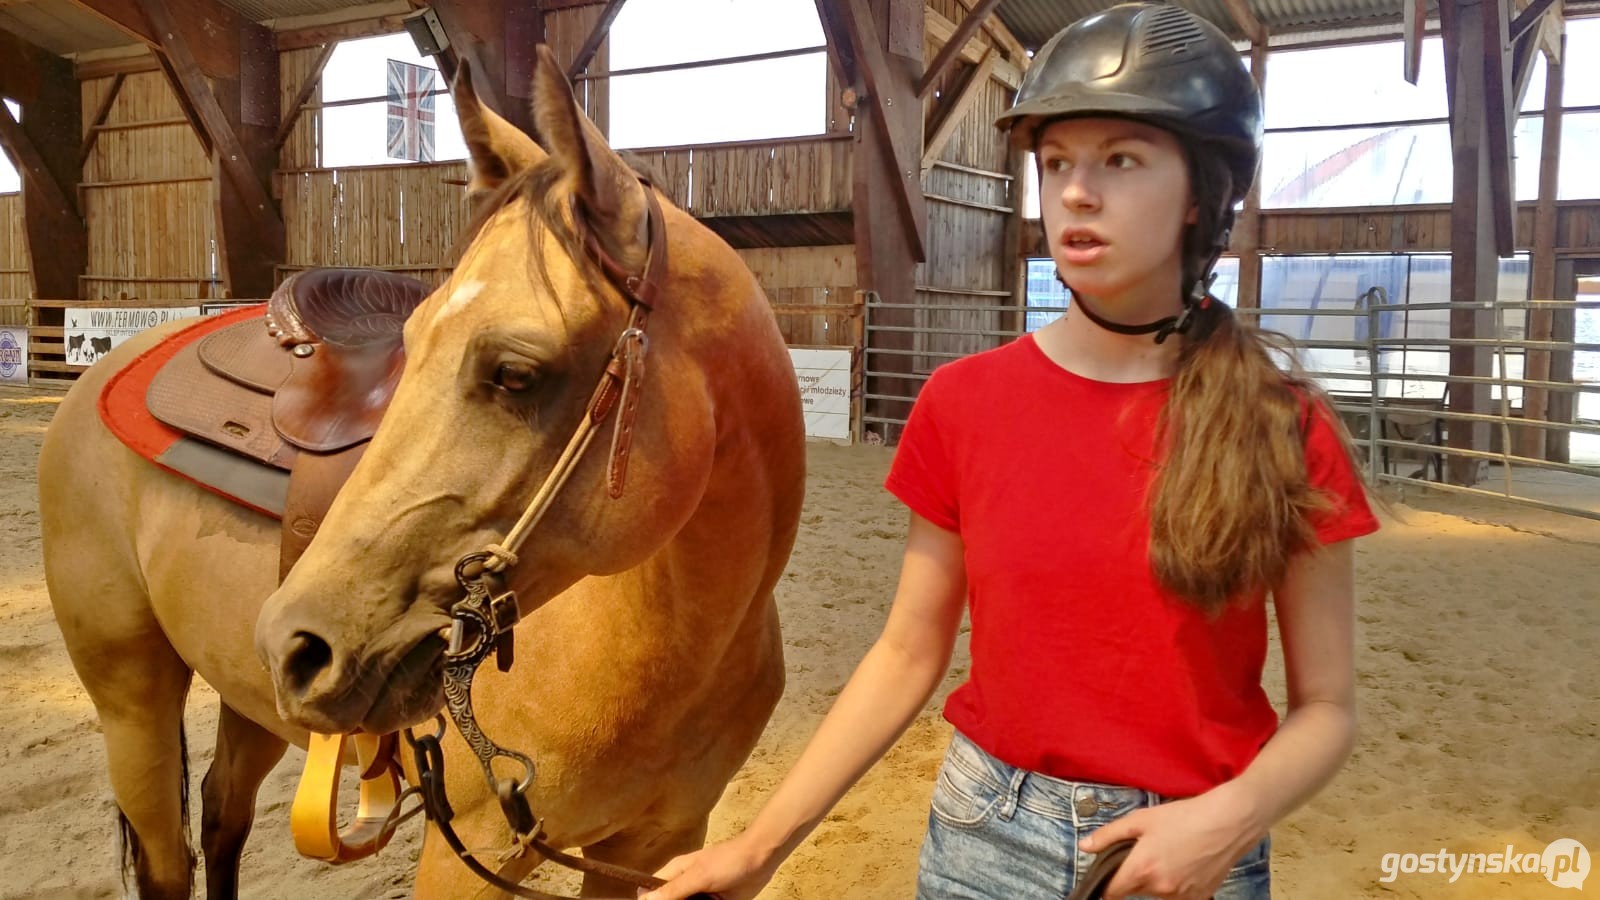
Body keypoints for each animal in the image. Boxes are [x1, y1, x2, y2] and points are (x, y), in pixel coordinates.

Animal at [40, 49, 800, 896]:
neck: (669, 649)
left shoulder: (649, 853)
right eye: (410, 340)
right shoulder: (465, 859)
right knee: (168, 855)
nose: (299, 642)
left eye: (514, 372)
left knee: (221, 811)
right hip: (132, 700)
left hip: (248, 694)